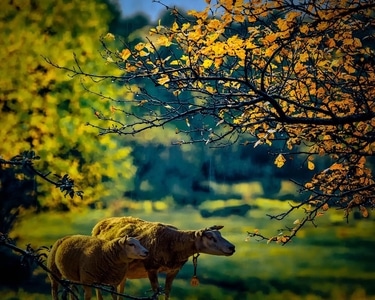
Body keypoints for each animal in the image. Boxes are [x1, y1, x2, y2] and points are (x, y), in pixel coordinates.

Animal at [91, 217, 235, 298]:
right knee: (99, 289)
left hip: (122, 271)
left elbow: (167, 292)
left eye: (220, 234)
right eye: (210, 237)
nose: (232, 247)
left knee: (117, 289)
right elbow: (156, 293)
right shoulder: (151, 268)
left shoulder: (173, 270)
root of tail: (98, 224)